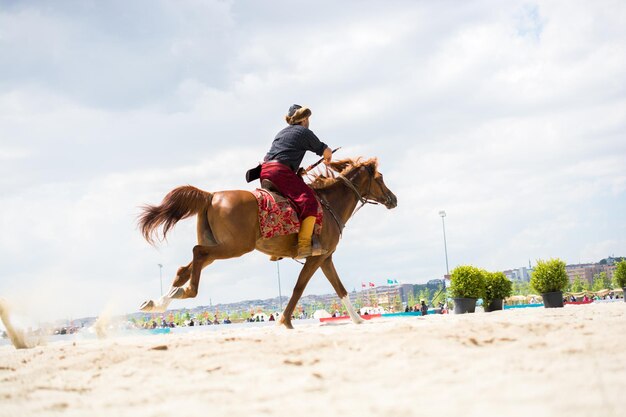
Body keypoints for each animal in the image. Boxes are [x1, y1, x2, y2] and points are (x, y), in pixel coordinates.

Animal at [140, 157, 398, 328]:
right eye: (380, 178)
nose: (393, 199)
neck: (328, 203)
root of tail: (211, 195)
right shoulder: (315, 258)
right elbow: (299, 287)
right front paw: (285, 321)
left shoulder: (325, 258)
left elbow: (340, 288)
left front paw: (358, 319)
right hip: (234, 247)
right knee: (198, 253)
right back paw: (186, 291)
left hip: (220, 246)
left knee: (185, 268)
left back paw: (160, 301)